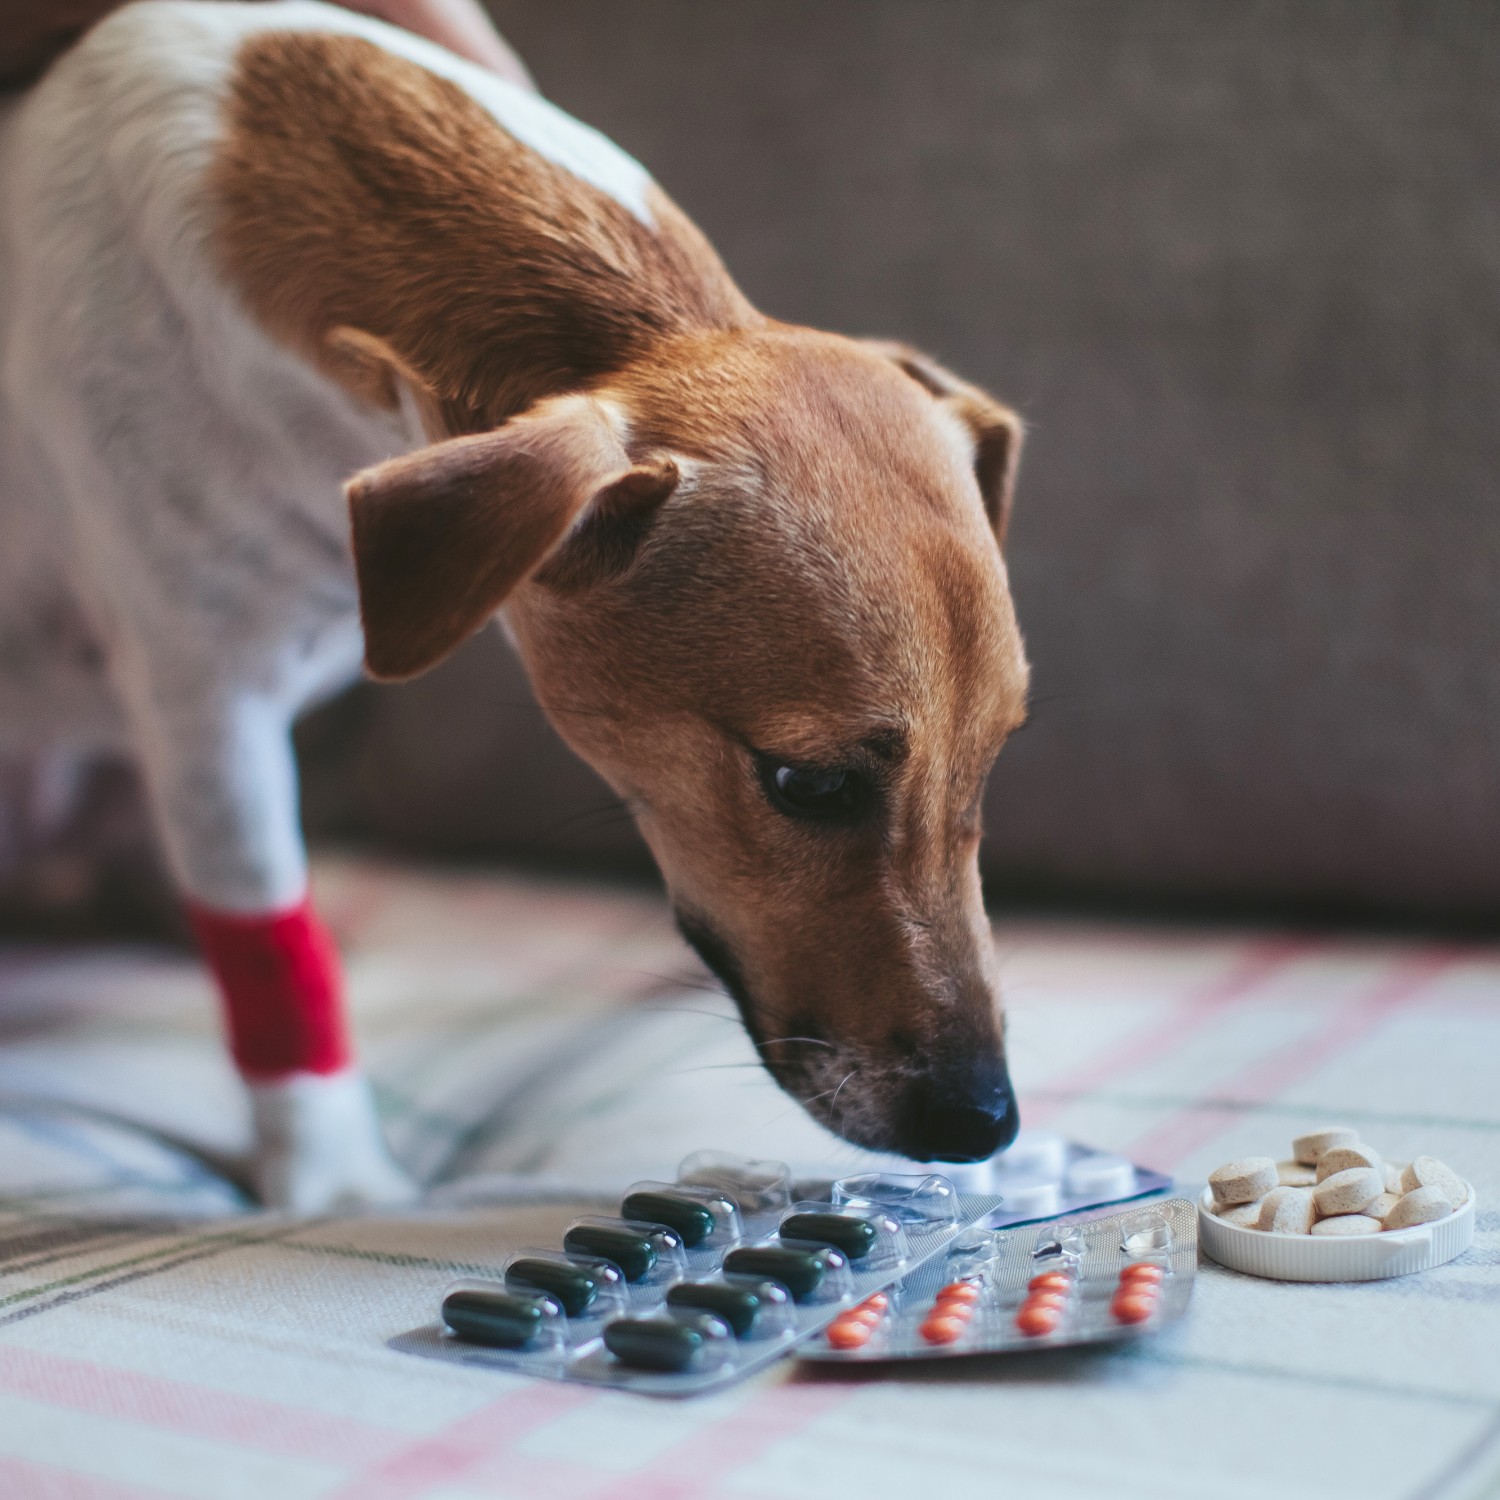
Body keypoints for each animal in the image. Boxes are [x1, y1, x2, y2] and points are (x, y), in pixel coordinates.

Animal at [0, 5, 1032, 1212]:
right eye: (807, 785)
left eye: (993, 759)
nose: (987, 1123)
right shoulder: (208, 706)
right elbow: (266, 935)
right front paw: (335, 1181)